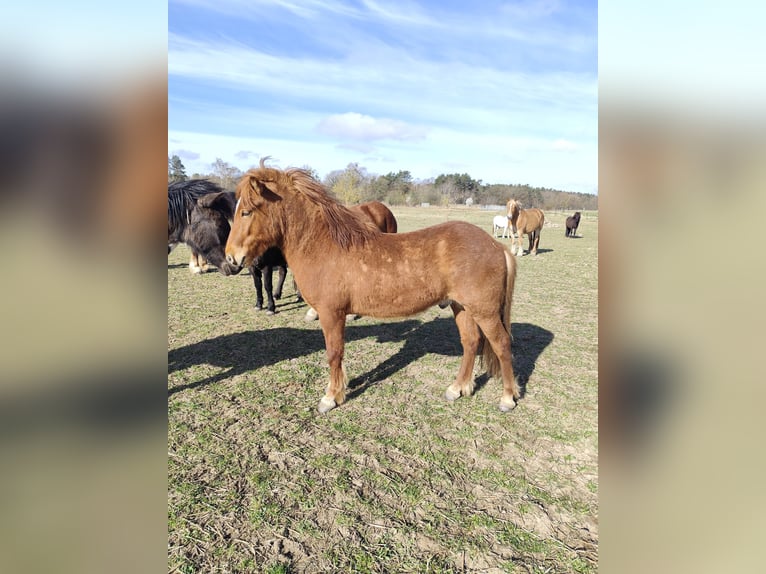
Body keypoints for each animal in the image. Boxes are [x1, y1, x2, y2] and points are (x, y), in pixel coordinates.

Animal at [225, 159, 519, 414]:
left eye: (246, 211)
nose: (230, 259)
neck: (323, 246)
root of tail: (497, 246)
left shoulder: (332, 314)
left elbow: (334, 353)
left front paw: (330, 398)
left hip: (484, 311)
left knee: (502, 344)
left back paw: (507, 398)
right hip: (462, 307)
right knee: (470, 343)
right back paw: (457, 388)